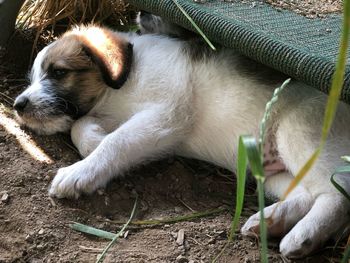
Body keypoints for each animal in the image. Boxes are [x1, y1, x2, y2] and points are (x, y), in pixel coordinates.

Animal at [13, 14, 350, 260]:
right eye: (34, 77)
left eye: (58, 72)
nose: (18, 105)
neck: (123, 84)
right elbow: (80, 126)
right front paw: (92, 140)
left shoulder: (166, 114)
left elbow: (117, 141)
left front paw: (79, 173)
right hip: (270, 171)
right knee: (305, 194)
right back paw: (270, 221)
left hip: (300, 135)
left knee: (337, 192)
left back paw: (303, 236)